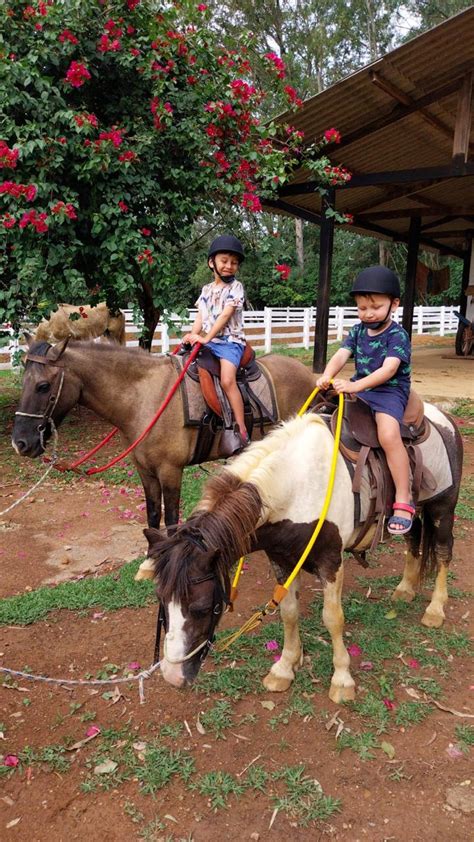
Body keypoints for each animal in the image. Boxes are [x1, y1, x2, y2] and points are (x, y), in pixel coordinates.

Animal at [11, 338, 316, 528]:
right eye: (23, 383)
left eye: (42, 386)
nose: (20, 443)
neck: (144, 397)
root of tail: (310, 375)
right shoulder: (145, 470)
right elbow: (152, 514)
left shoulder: (170, 470)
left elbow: (170, 519)